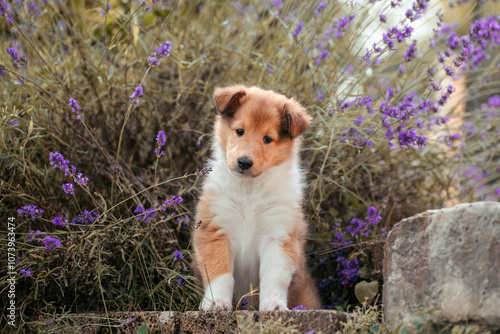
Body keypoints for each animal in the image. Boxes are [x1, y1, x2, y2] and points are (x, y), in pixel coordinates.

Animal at [191, 83, 320, 310]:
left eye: (267, 138)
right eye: (240, 131)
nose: (244, 162)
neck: (249, 190)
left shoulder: (278, 236)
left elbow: (273, 276)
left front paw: (274, 306)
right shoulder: (215, 229)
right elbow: (221, 274)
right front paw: (216, 303)